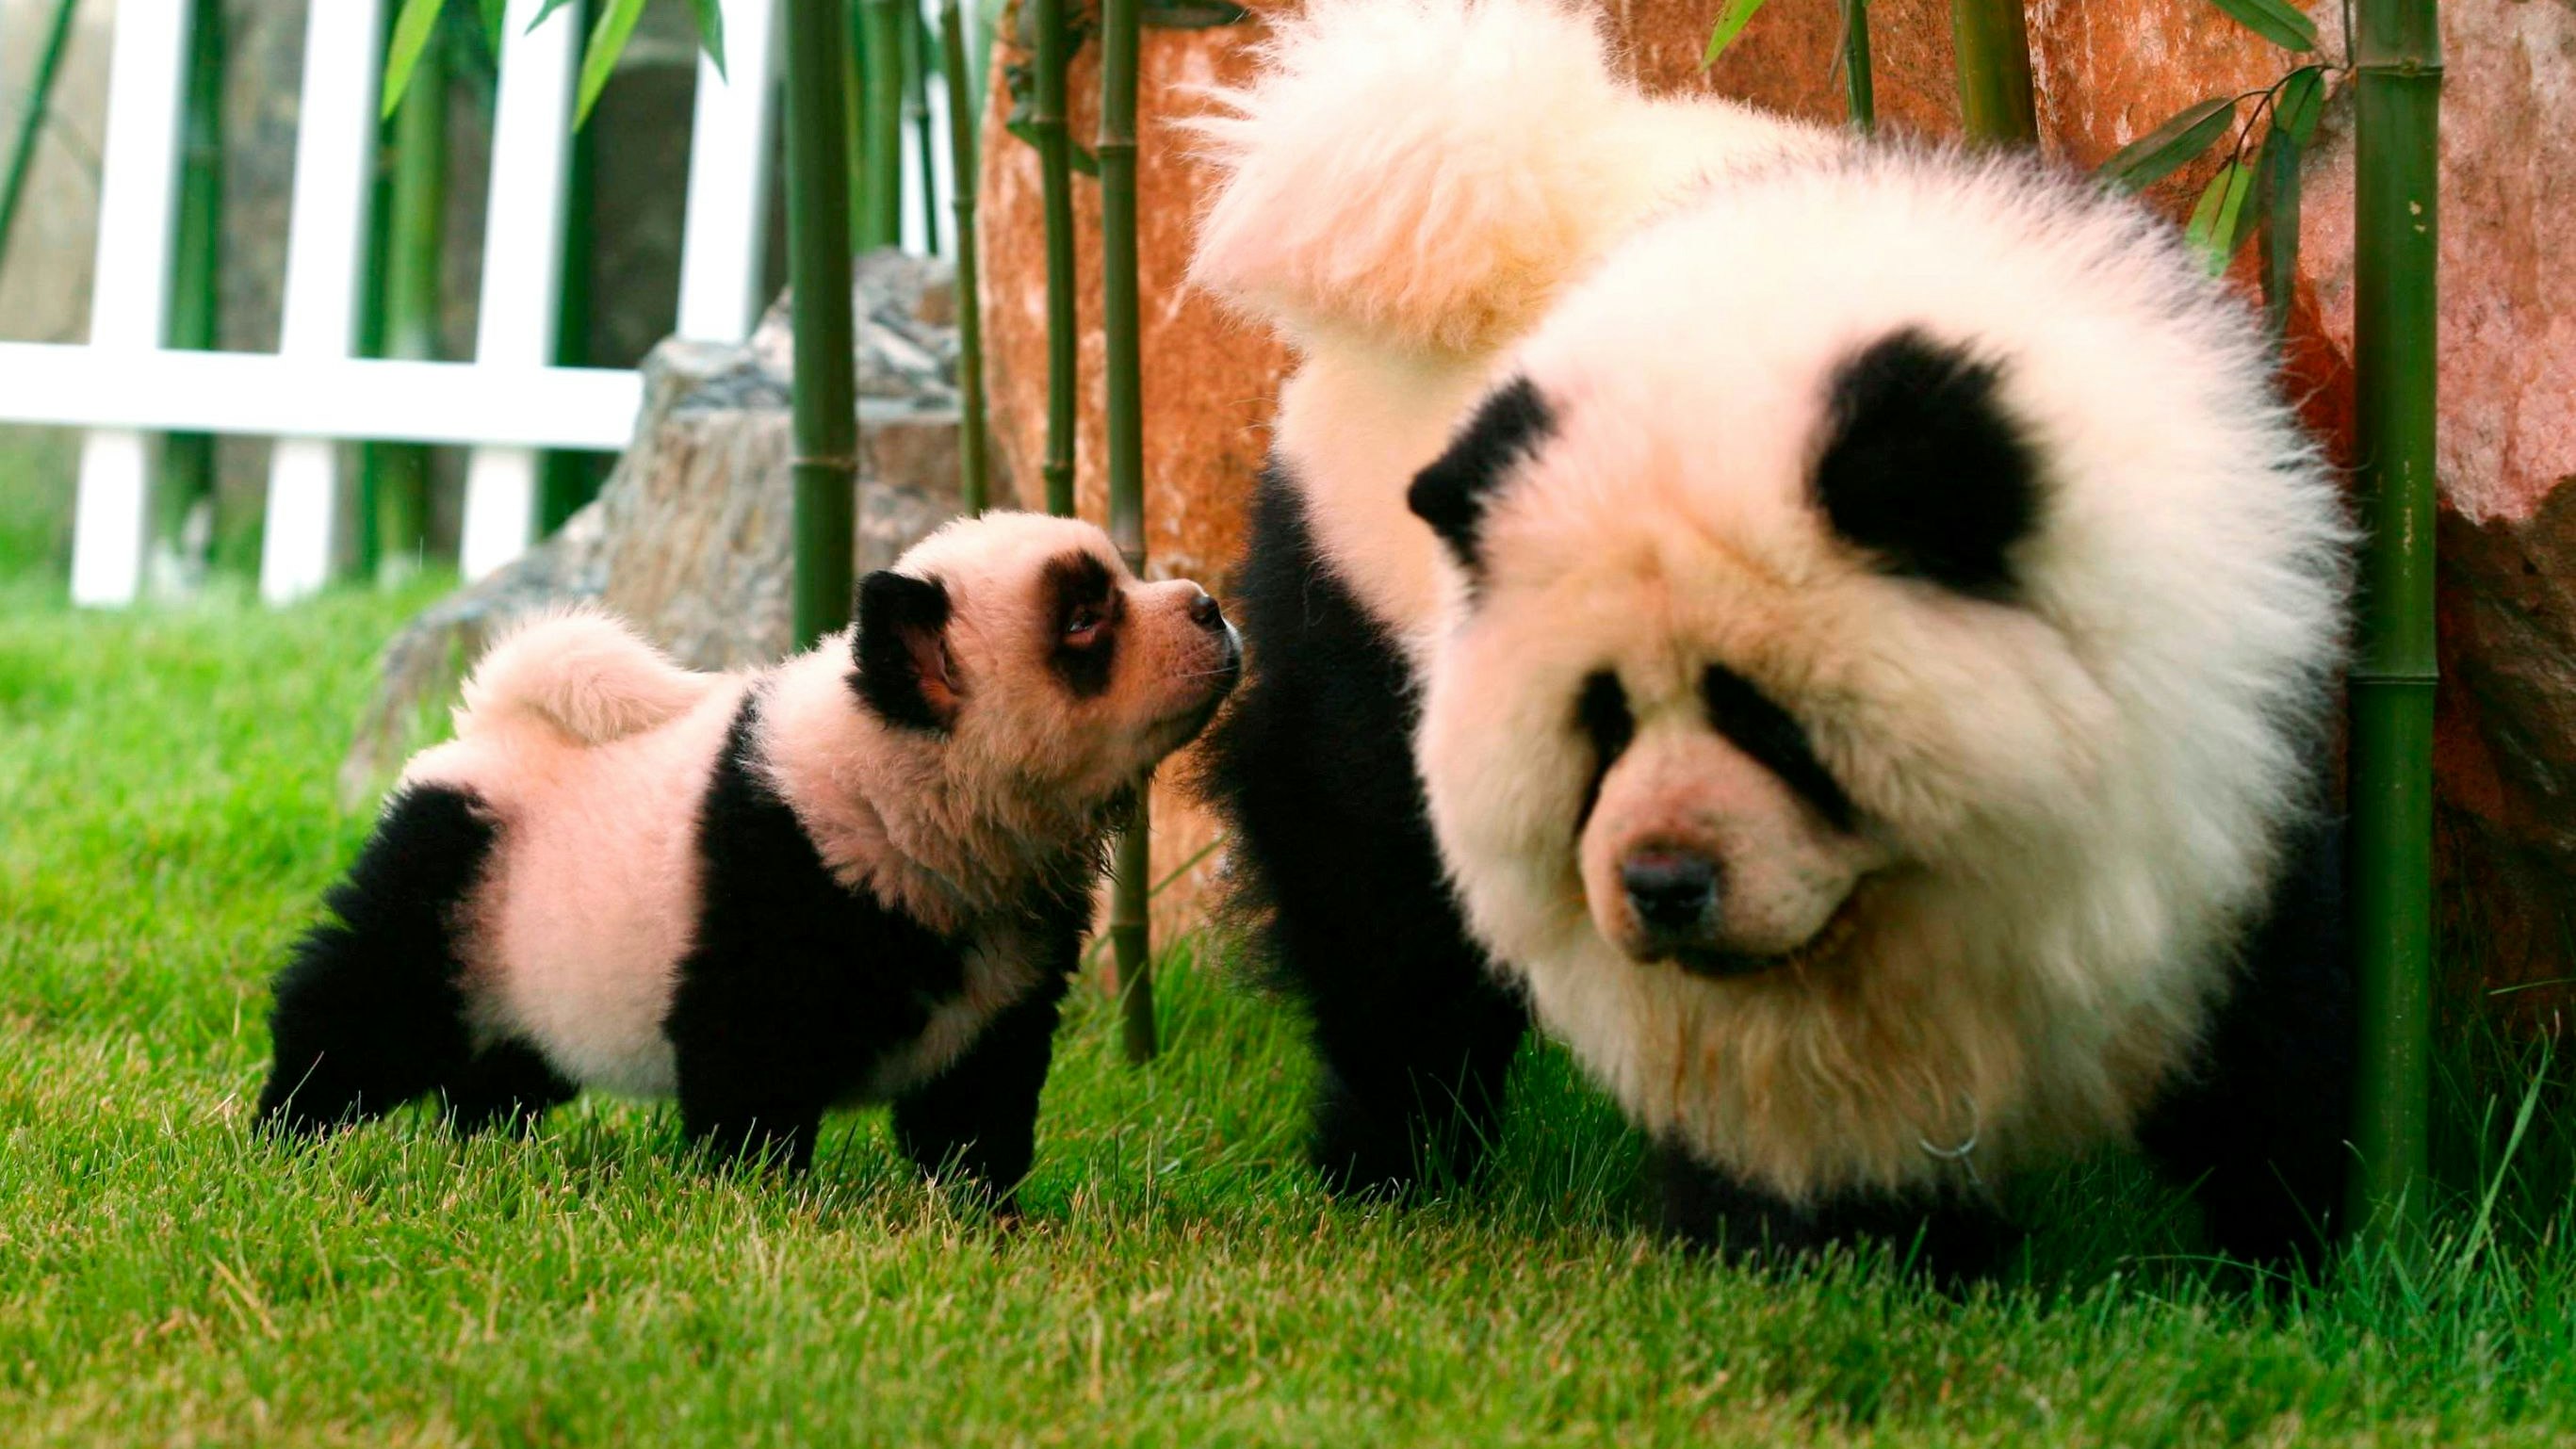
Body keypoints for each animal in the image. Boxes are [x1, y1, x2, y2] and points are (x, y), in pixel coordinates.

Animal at [259, 512, 1241, 1201]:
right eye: (1083, 620)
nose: (1211, 608)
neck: (904, 783)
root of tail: (493, 724)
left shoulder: (1005, 963)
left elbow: (978, 1094)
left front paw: (981, 1210)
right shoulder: (783, 877)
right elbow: (750, 1068)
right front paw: (756, 1198)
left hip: (526, 952)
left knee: (502, 1069)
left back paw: (481, 1150)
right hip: (451, 879)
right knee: (362, 1007)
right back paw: (289, 1136)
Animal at [1190, 0, 2352, 1273]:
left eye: (1768, 719)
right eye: (1600, 724)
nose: (1664, 883)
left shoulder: (2228, 708)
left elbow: (2268, 1012)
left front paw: (2285, 1256)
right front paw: (1835, 1251)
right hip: (1357, 589)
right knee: (1376, 906)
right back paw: (1389, 1166)